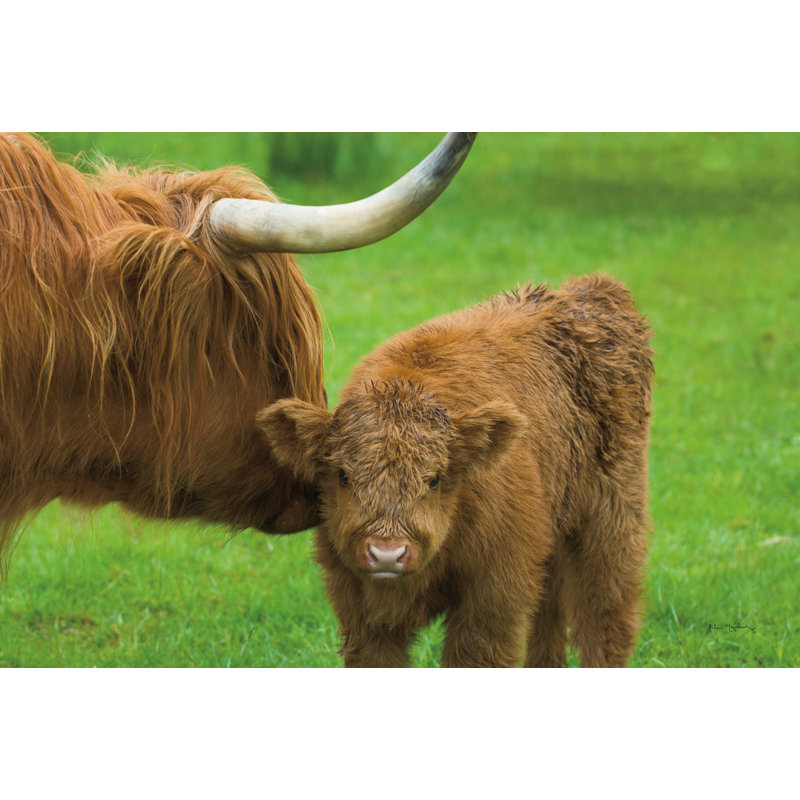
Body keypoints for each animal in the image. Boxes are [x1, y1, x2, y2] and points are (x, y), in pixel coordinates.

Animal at [258, 275, 653, 667]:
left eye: (434, 479)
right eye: (343, 475)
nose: (387, 553)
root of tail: (590, 289)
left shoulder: (493, 595)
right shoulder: (358, 609)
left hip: (612, 521)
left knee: (605, 616)